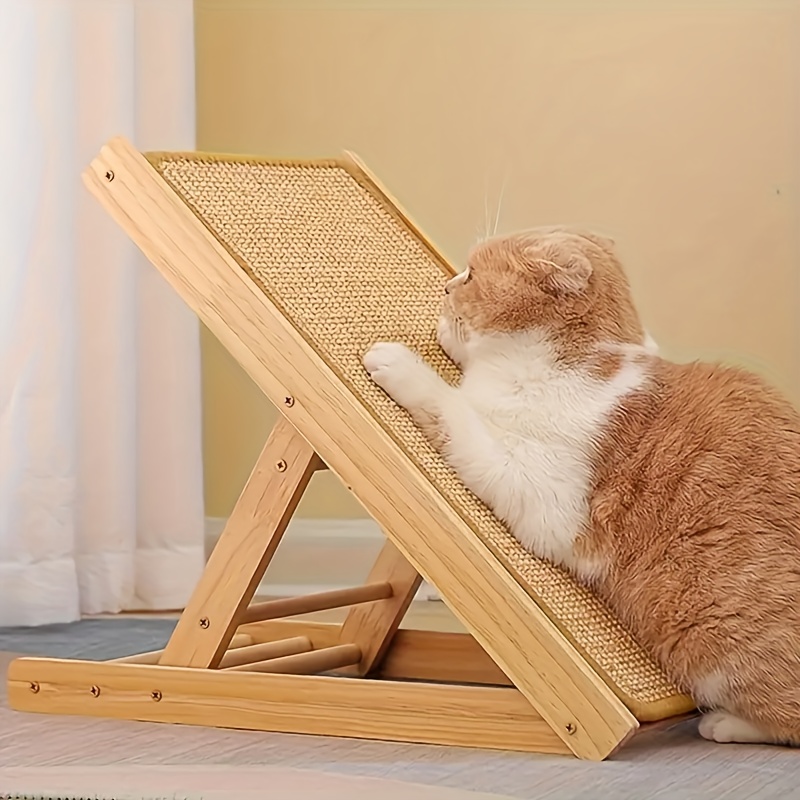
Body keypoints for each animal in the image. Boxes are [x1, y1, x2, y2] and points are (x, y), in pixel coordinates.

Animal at [362, 227, 800, 752]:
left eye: (472, 273)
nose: (447, 285)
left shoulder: (538, 490)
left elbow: (451, 408)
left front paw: (399, 362)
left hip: (714, 640)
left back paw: (724, 723)